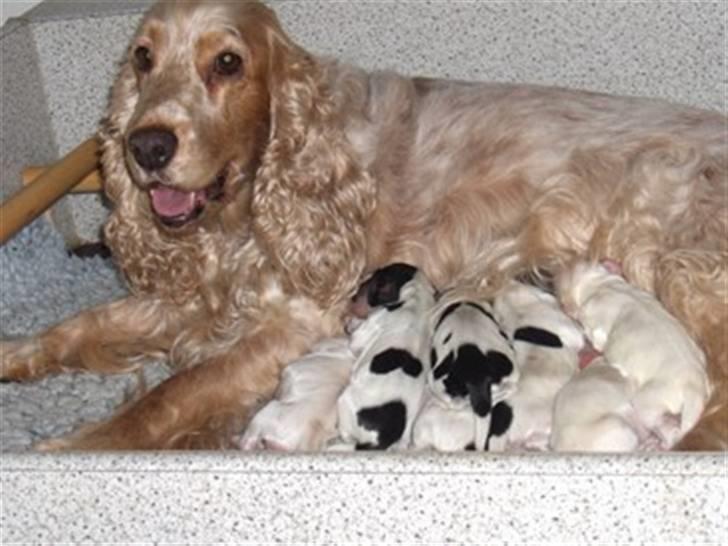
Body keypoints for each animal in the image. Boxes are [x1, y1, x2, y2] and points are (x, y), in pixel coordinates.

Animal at [336, 262, 438, 446]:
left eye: (374, 277)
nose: (353, 296)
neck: (417, 299)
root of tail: (380, 438)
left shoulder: (365, 331)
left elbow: (355, 339)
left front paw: (351, 323)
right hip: (405, 437)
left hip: (344, 401)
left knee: (346, 435)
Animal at [556, 262, 712, 448]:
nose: (558, 272)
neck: (602, 285)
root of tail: (693, 385)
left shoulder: (595, 325)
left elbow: (595, 337)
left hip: (646, 402)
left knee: (666, 430)